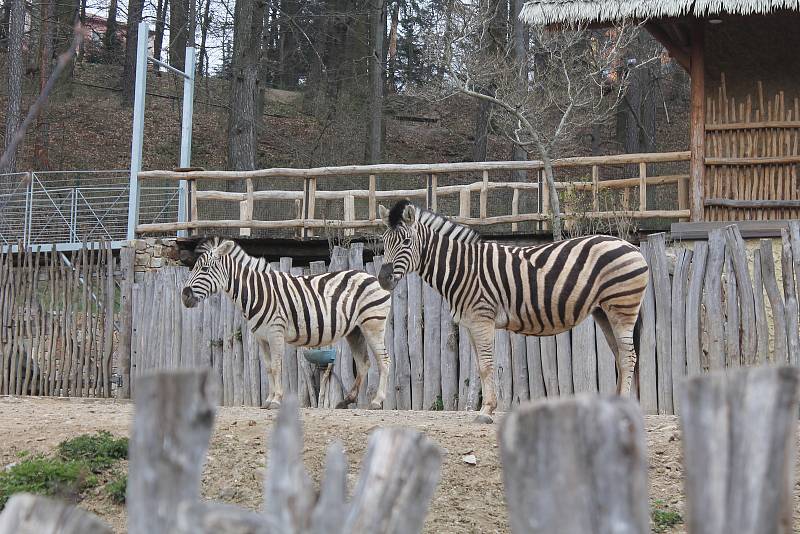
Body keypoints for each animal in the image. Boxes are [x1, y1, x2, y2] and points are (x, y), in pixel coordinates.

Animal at [182, 239, 394, 410]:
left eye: (205, 270)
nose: (184, 296)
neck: (257, 292)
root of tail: (371, 276)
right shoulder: (261, 337)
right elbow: (268, 367)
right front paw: (268, 400)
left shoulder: (275, 332)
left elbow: (277, 366)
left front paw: (276, 400)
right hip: (355, 330)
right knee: (364, 363)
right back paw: (346, 401)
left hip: (373, 325)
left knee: (383, 361)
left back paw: (377, 402)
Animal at [376, 199, 648, 426]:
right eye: (384, 242)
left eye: (406, 243)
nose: (383, 279)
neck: (463, 268)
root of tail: (629, 245)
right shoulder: (471, 323)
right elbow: (480, 366)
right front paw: (486, 408)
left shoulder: (482, 319)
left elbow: (487, 365)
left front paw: (486, 412)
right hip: (603, 312)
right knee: (620, 356)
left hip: (622, 308)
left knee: (629, 357)